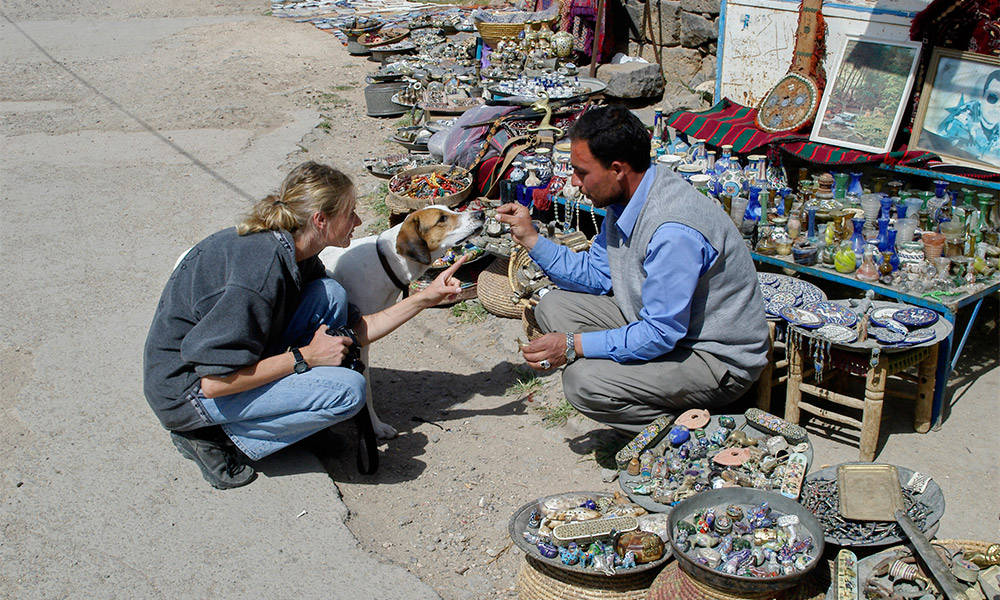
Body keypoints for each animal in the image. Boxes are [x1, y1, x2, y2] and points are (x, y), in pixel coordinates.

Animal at [316, 206, 480, 440]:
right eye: (441, 219)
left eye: (450, 209)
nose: (481, 214)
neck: (386, 262)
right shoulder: (358, 341)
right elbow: (365, 389)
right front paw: (374, 426)